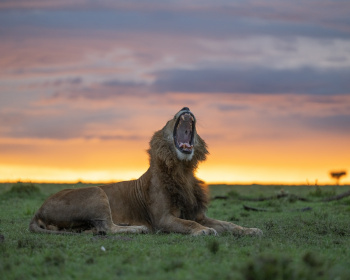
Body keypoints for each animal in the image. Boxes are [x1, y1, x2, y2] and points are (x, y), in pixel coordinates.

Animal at [30, 107, 262, 236]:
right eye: (169, 119)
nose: (186, 106)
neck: (182, 170)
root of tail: (37, 211)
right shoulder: (163, 219)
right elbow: (187, 223)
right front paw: (202, 231)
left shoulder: (199, 214)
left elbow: (229, 224)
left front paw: (251, 230)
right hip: (96, 192)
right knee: (108, 227)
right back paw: (138, 228)